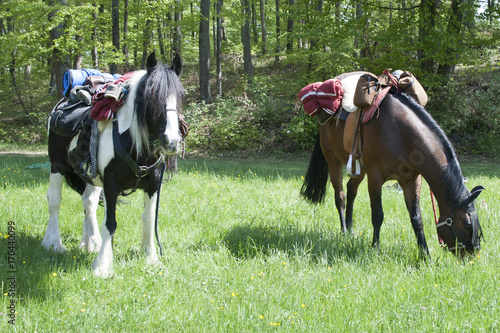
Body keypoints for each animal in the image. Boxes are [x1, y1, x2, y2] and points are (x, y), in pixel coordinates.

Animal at [42, 52, 185, 276]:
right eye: (151, 96)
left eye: (181, 95)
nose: (171, 141)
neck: (134, 145)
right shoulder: (111, 185)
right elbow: (110, 223)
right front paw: (102, 265)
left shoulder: (153, 186)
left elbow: (148, 218)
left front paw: (150, 257)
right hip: (57, 166)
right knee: (54, 200)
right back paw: (53, 242)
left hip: (90, 176)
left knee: (89, 202)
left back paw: (91, 242)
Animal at [300, 91, 484, 256]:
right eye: (467, 224)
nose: (472, 254)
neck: (401, 133)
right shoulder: (375, 177)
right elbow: (377, 215)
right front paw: (375, 248)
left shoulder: (411, 181)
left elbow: (417, 219)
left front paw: (425, 255)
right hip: (333, 161)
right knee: (340, 196)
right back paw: (344, 230)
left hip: (358, 168)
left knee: (351, 189)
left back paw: (350, 229)